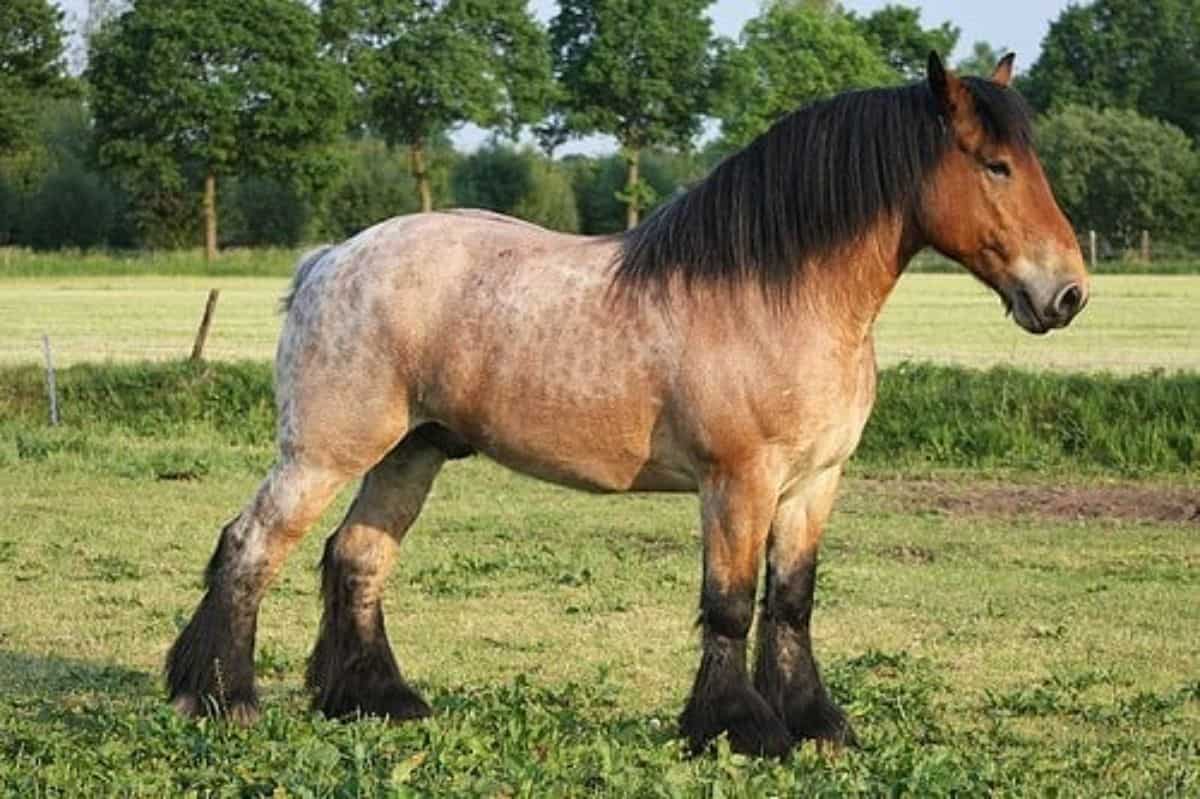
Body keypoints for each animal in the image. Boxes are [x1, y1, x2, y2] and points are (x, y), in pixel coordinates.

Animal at [164, 54, 1094, 753]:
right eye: (995, 165)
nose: (1068, 294)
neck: (782, 295)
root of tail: (329, 258)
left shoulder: (813, 483)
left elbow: (790, 600)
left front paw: (815, 721)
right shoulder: (739, 482)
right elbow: (730, 602)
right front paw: (738, 726)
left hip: (411, 450)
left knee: (356, 557)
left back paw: (378, 699)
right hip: (326, 451)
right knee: (252, 545)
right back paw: (222, 697)